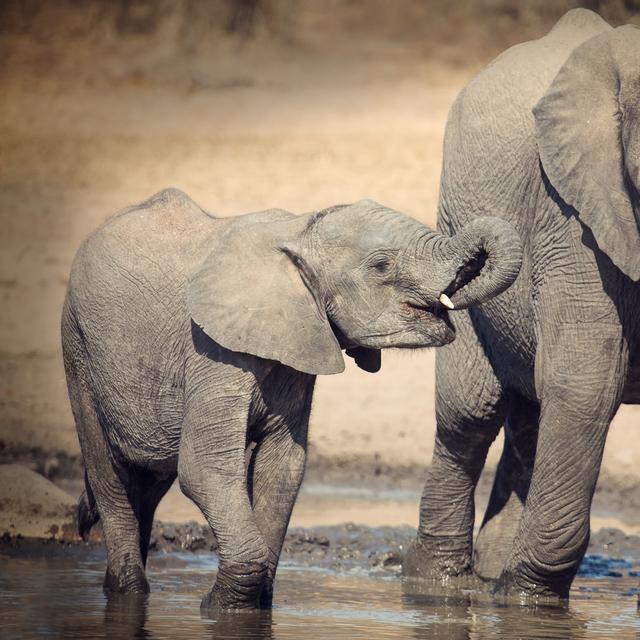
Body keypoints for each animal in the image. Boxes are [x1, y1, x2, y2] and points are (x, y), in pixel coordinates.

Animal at [61, 188, 521, 611]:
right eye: (381, 265)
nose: (457, 301)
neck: (299, 232)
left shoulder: (300, 348)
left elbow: (283, 467)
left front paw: (251, 604)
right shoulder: (211, 350)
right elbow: (205, 467)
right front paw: (219, 609)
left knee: (149, 484)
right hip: (77, 348)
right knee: (110, 478)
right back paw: (129, 593)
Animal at [404, 9, 640, 604]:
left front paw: (520, 592)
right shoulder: (576, 212)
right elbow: (586, 380)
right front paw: (526, 601)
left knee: (530, 412)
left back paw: (492, 571)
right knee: (470, 415)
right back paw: (439, 582)